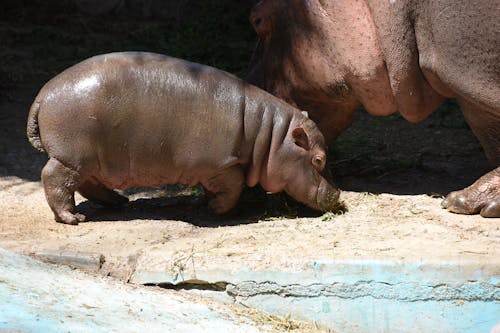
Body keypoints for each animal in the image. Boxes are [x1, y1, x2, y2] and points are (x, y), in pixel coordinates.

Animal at [27, 52, 340, 224]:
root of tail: (42, 95)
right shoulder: (221, 164)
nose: (338, 194)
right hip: (72, 157)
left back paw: (119, 202)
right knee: (54, 178)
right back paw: (73, 219)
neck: (270, 135)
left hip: (93, 159)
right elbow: (233, 187)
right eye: (318, 159)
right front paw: (216, 209)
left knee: (89, 184)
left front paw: (208, 204)